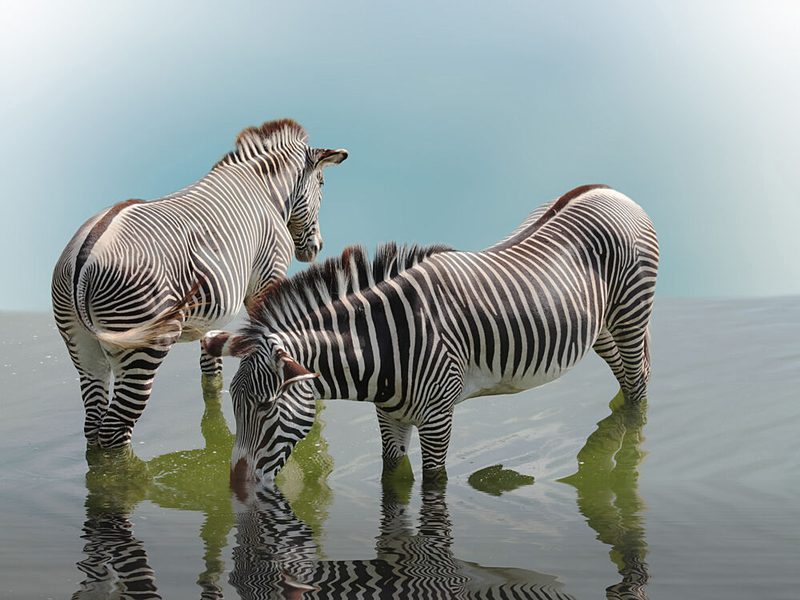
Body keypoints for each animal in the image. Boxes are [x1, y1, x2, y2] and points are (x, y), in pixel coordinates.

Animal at [51, 119, 348, 449]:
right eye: (322, 184)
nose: (317, 248)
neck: (266, 192)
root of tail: (85, 256)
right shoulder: (266, 280)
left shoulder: (209, 311)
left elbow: (210, 367)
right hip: (141, 343)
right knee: (115, 428)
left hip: (81, 346)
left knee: (94, 424)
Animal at [202, 184, 659, 483]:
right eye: (234, 404)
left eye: (265, 407)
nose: (236, 487)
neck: (384, 345)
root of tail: (611, 191)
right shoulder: (388, 416)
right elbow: (393, 481)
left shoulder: (439, 418)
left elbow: (432, 485)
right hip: (600, 328)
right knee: (628, 375)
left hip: (630, 313)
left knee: (638, 382)